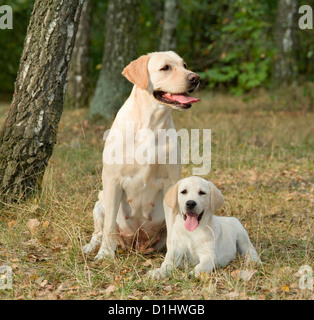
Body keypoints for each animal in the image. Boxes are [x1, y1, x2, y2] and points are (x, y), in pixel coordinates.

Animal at [83, 50, 201, 260]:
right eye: (165, 68)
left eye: (185, 65)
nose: (195, 78)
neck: (150, 123)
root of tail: (136, 244)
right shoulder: (112, 180)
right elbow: (108, 226)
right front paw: (105, 254)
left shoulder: (170, 182)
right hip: (100, 201)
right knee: (99, 230)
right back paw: (91, 247)